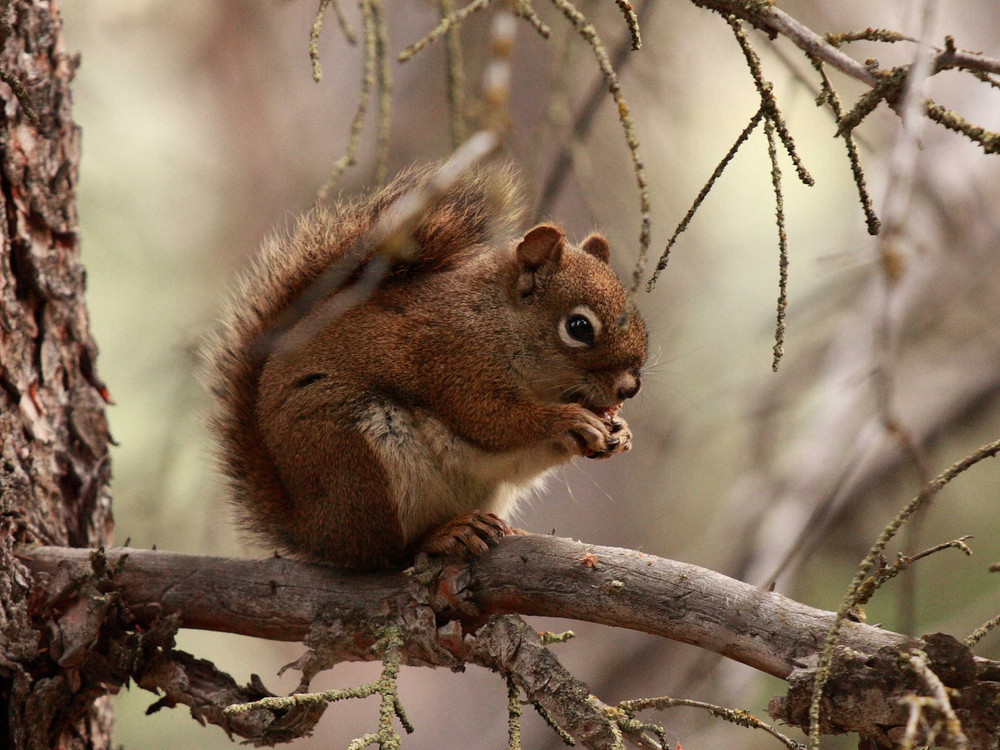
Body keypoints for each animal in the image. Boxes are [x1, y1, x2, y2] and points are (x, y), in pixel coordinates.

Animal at [208, 164, 648, 572]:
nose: (629, 389)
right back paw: (443, 536)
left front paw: (620, 432)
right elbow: (492, 420)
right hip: (354, 457)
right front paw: (570, 420)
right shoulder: (454, 360)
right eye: (578, 327)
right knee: (386, 553)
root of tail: (314, 532)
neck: (500, 320)